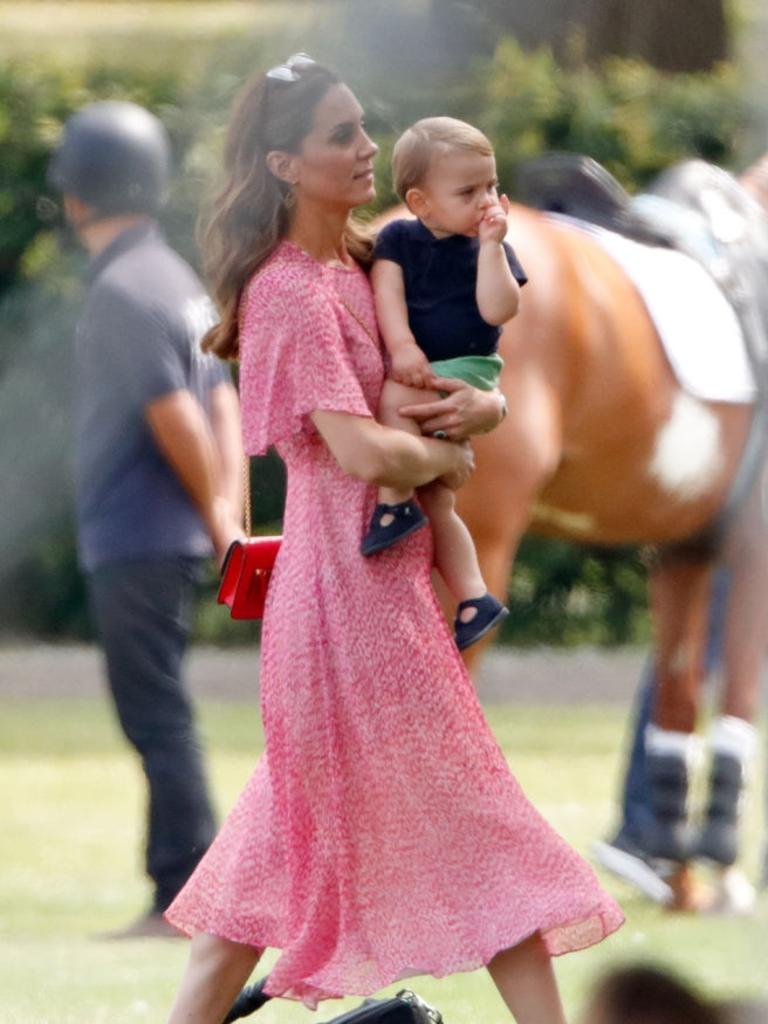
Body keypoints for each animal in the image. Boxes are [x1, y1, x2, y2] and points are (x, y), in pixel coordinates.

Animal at [450, 163, 768, 909]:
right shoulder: (753, 546)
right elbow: (740, 689)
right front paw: (719, 869)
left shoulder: (684, 552)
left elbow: (678, 699)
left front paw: (678, 875)